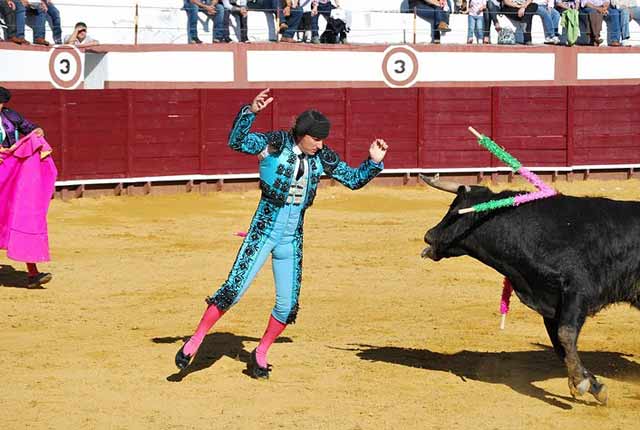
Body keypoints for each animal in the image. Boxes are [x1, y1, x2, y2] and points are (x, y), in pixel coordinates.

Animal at [420, 173, 640, 404]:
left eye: (455, 212)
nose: (429, 235)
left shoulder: (578, 291)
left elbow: (565, 334)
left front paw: (580, 383)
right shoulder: (551, 305)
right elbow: (558, 344)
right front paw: (592, 385)